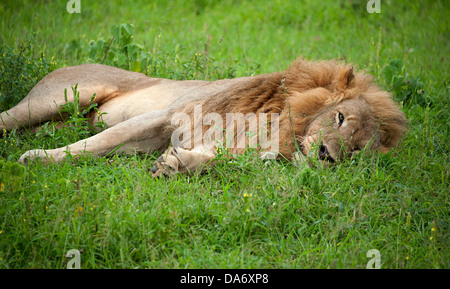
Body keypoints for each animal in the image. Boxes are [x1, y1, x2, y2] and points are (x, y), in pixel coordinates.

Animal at [0, 56, 408, 176]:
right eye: (339, 118)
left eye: (357, 151)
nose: (328, 155)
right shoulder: (164, 118)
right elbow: (97, 142)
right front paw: (39, 160)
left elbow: (215, 161)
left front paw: (174, 166)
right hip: (60, 98)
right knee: (8, 118)